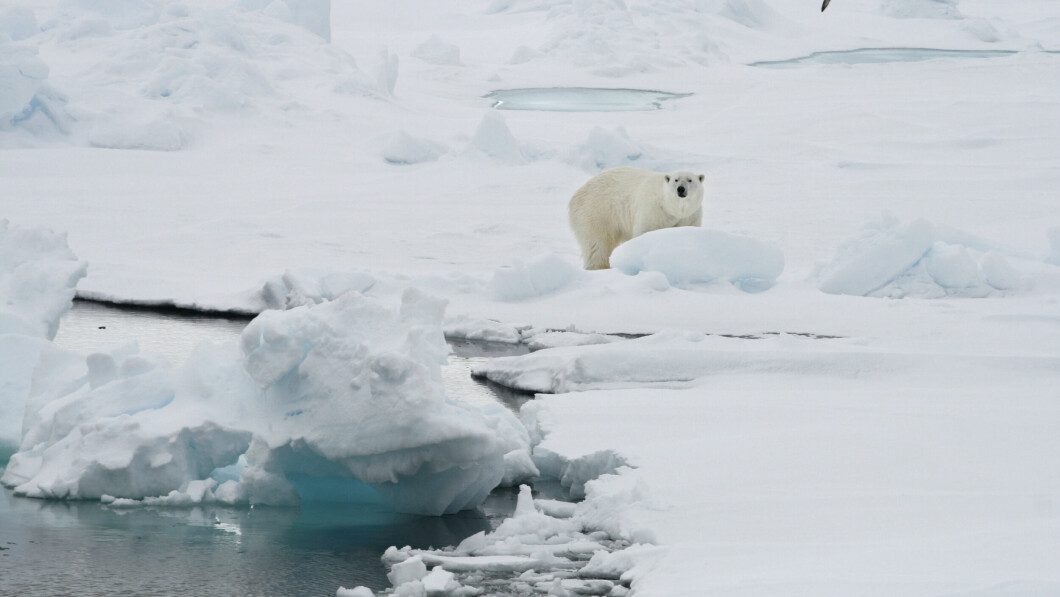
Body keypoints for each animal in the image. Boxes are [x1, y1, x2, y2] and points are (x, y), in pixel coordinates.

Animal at [568, 168, 708, 271]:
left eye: (690, 180)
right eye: (676, 180)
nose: (681, 189)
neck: (670, 207)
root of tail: (576, 195)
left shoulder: (691, 216)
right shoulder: (653, 211)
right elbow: (645, 232)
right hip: (597, 212)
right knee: (597, 243)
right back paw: (599, 267)